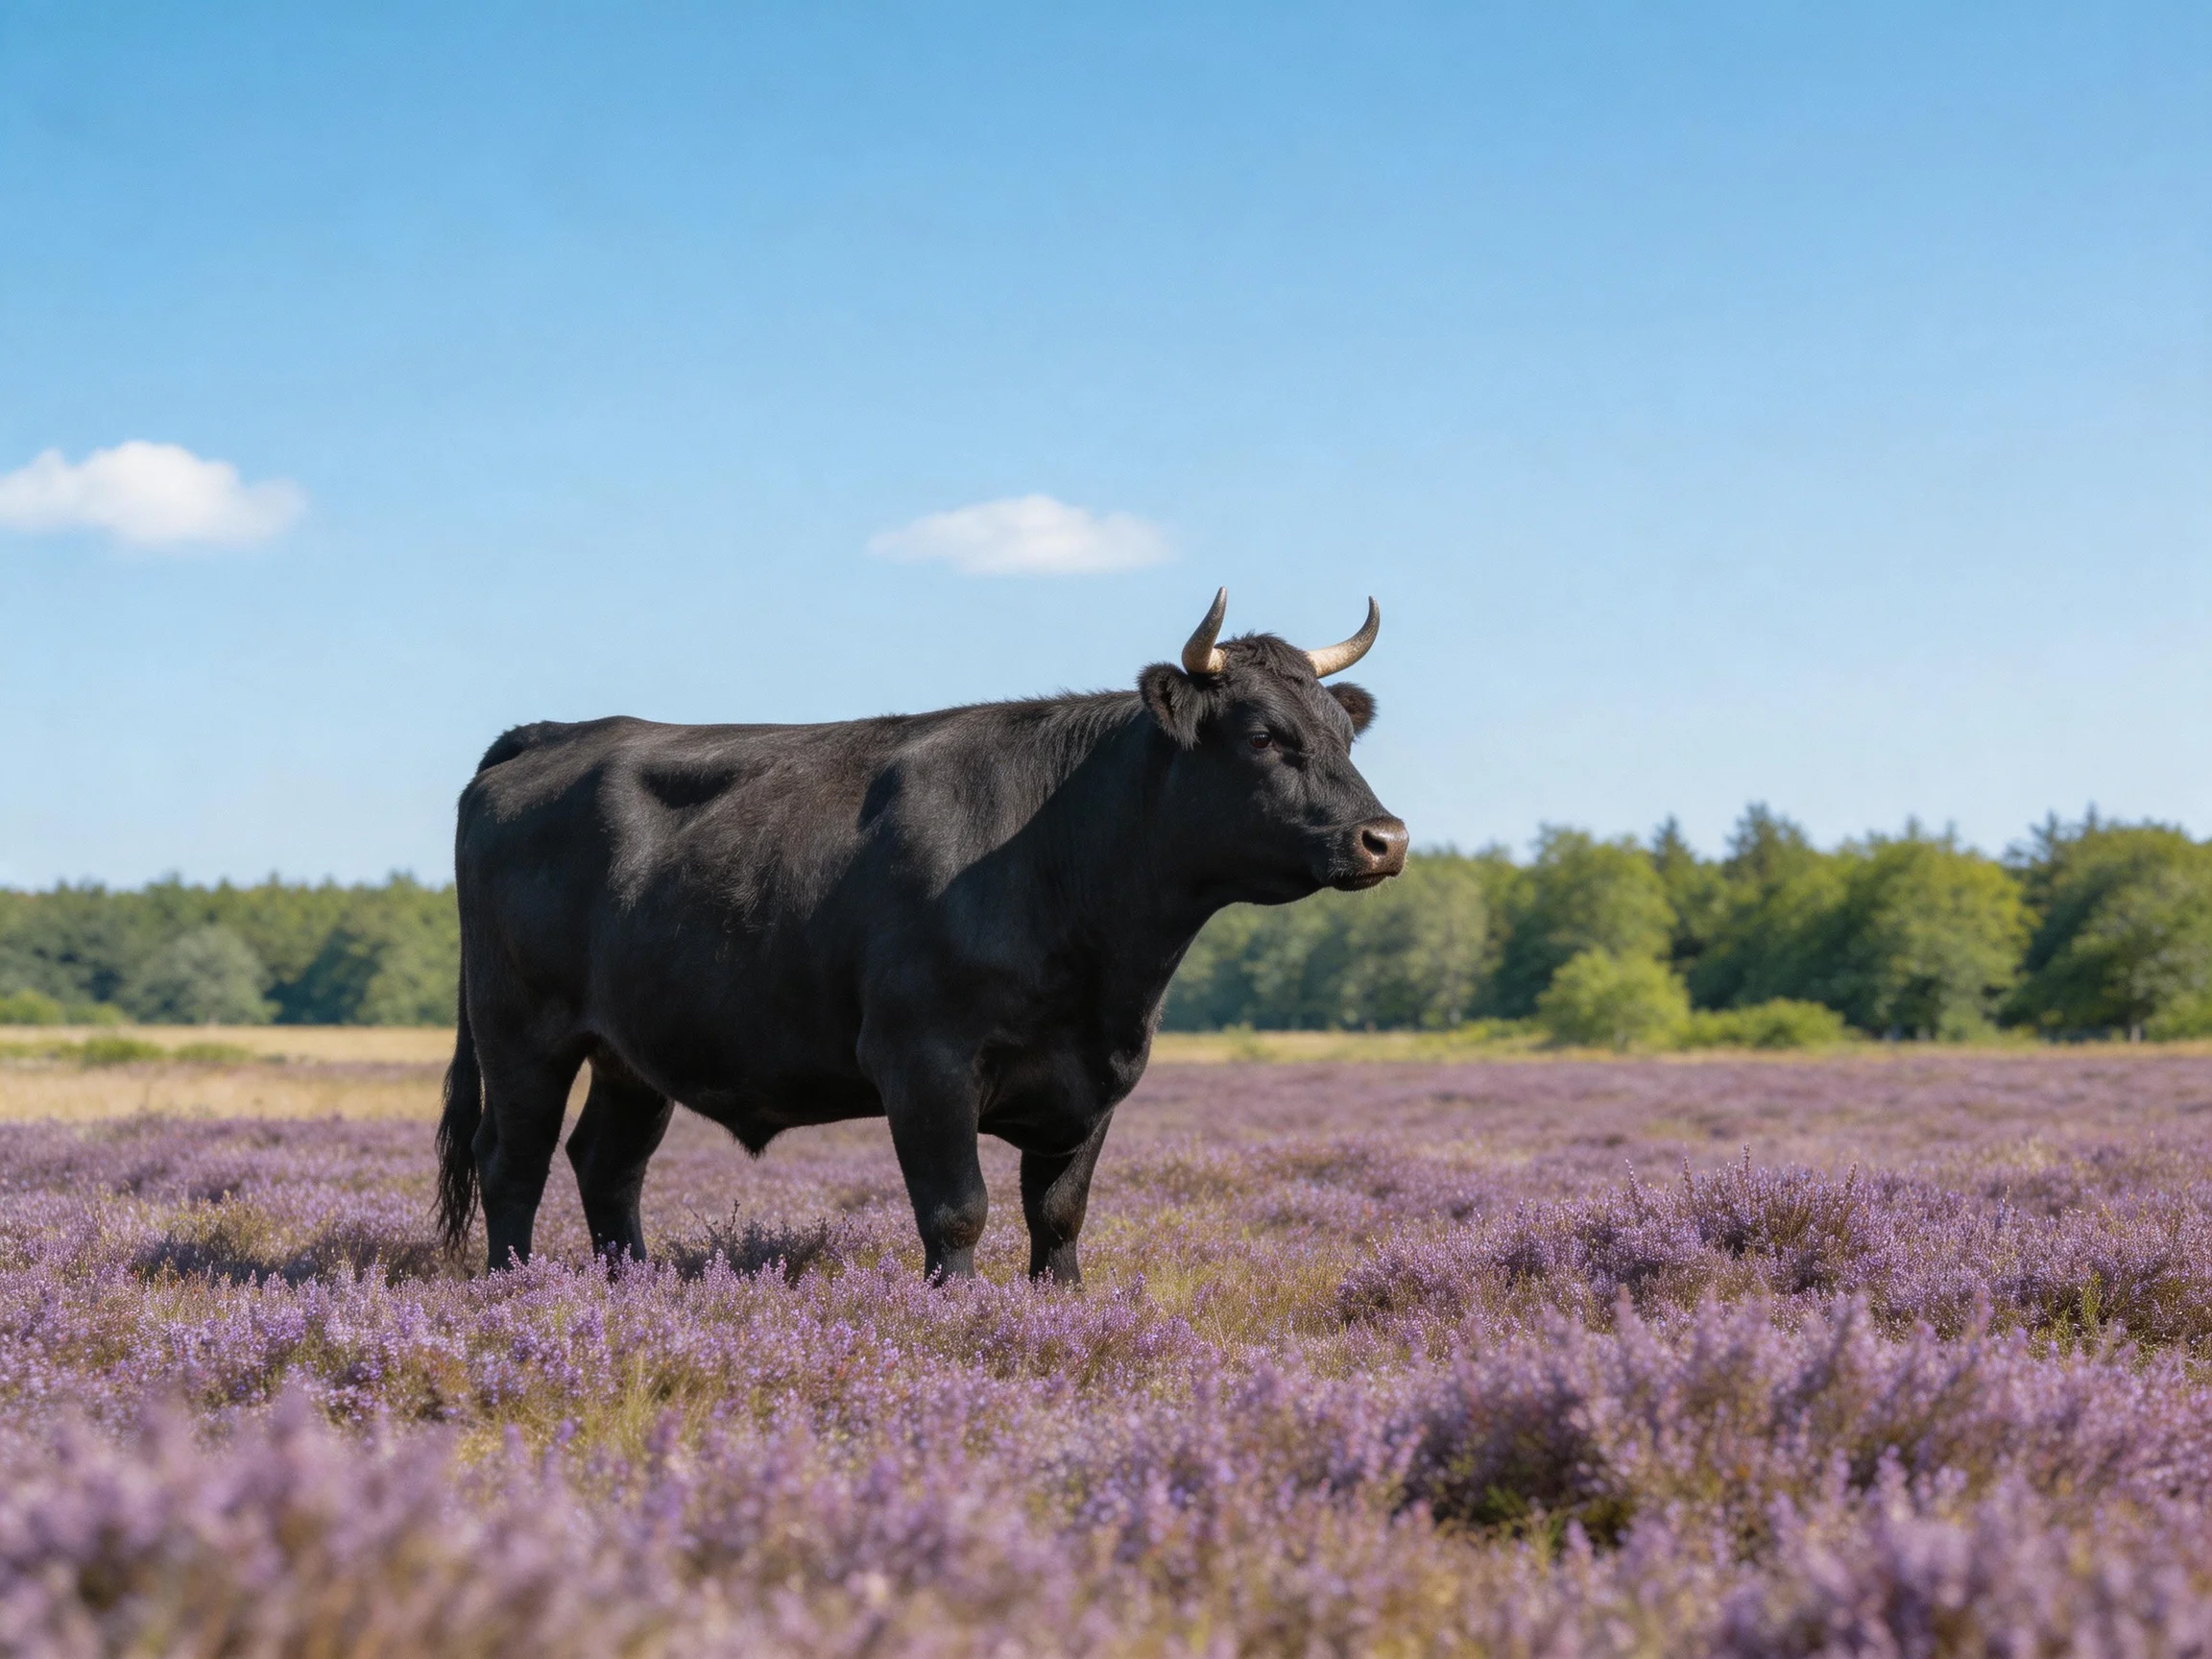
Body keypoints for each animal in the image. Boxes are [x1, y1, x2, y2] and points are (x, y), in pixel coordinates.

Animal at [435, 590, 1407, 1281]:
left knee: (607, 1162)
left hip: (633, 1049)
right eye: (1262, 736)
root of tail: (554, 732)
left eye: (1342, 733)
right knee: (511, 1159)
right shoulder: (923, 1061)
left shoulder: (1094, 1081)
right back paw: (514, 1289)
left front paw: (1063, 1308)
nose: (1386, 837)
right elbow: (957, 1211)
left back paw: (629, 1285)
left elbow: (1058, 1215)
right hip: (521, 1031)